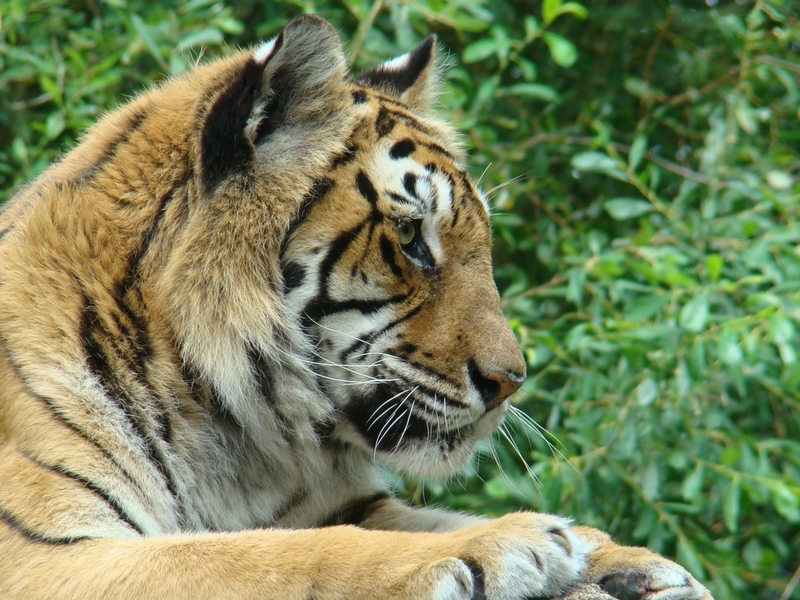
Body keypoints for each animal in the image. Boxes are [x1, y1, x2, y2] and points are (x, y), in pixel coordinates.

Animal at [0, 14, 712, 600]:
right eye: (412, 239)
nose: (510, 383)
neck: (222, 420)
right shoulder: (40, 554)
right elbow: (270, 555)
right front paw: (516, 541)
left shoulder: (342, 500)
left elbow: (415, 520)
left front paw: (629, 561)